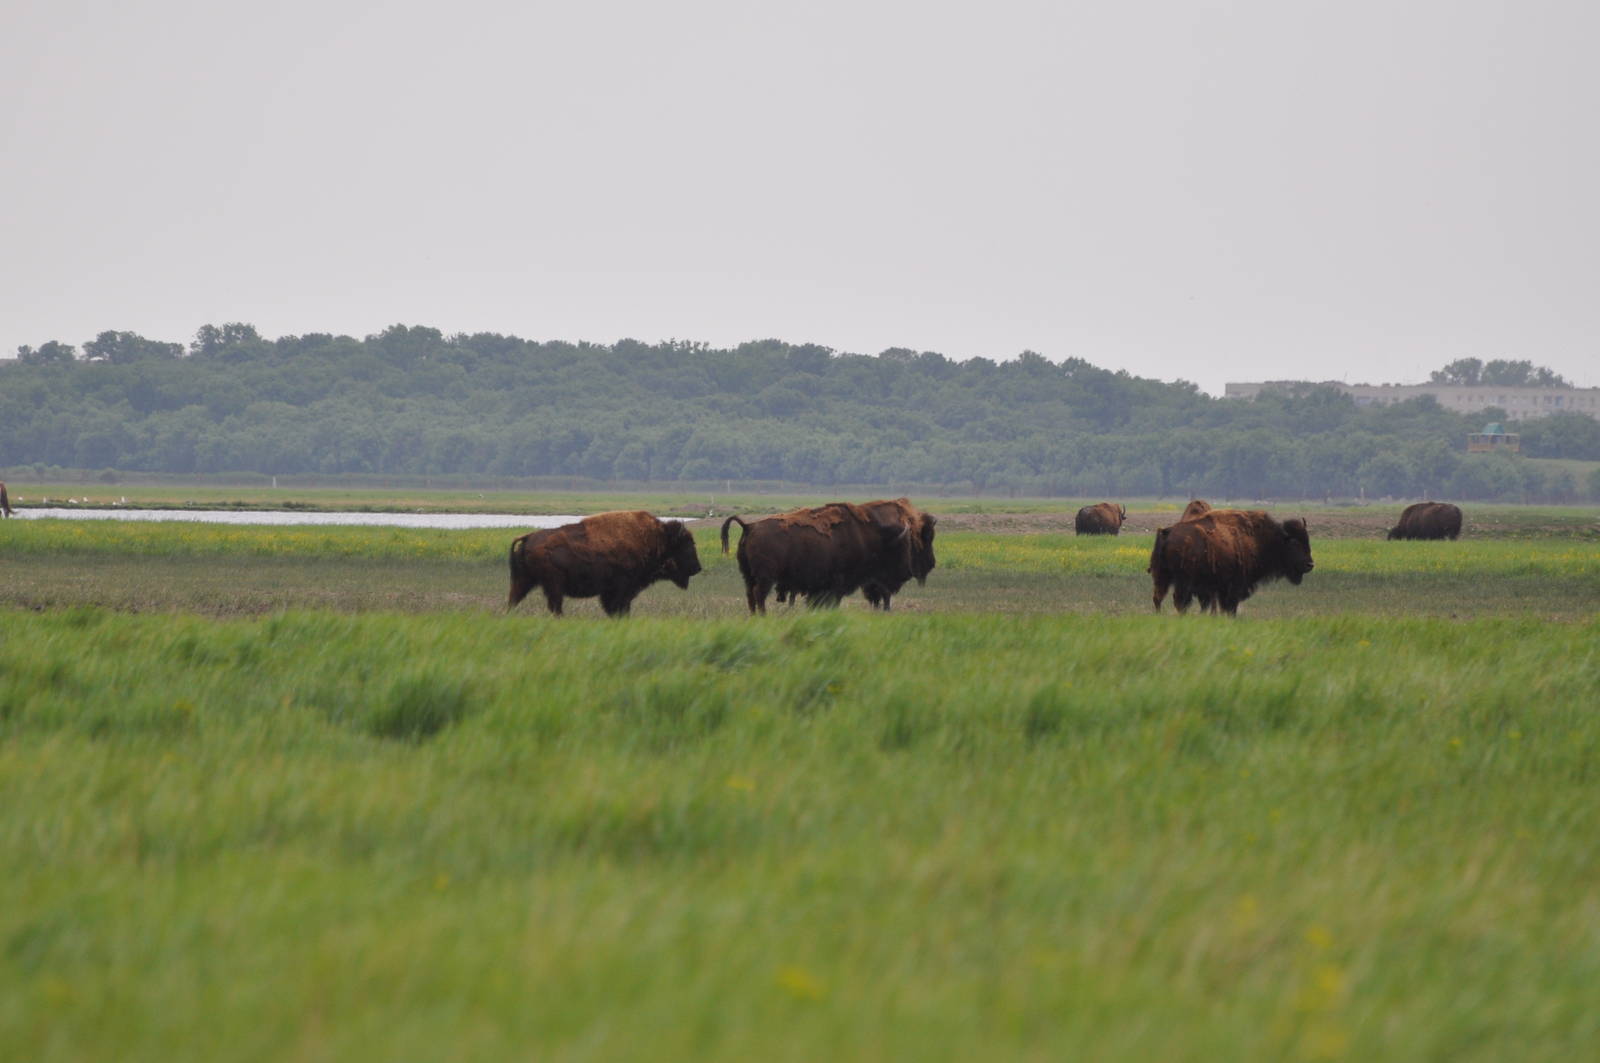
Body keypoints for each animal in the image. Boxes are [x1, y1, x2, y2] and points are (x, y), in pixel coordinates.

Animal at [508, 510, 702, 617]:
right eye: (686, 544)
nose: (698, 568)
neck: (657, 540)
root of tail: (528, 538)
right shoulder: (620, 590)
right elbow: (618, 607)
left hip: (524, 581)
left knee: (514, 599)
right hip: (553, 584)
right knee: (555, 606)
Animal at [721, 502, 915, 614]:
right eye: (901, 547)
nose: (907, 572)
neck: (868, 536)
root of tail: (749, 526)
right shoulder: (836, 583)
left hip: (748, 575)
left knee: (750, 595)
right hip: (765, 577)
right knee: (759, 594)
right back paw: (763, 616)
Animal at [1149, 509, 1313, 616]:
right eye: (1295, 543)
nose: (1310, 565)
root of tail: (1167, 532)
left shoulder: (1219, 588)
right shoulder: (1235, 586)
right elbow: (1230, 606)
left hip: (1162, 576)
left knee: (1158, 597)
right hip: (1183, 580)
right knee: (1179, 600)